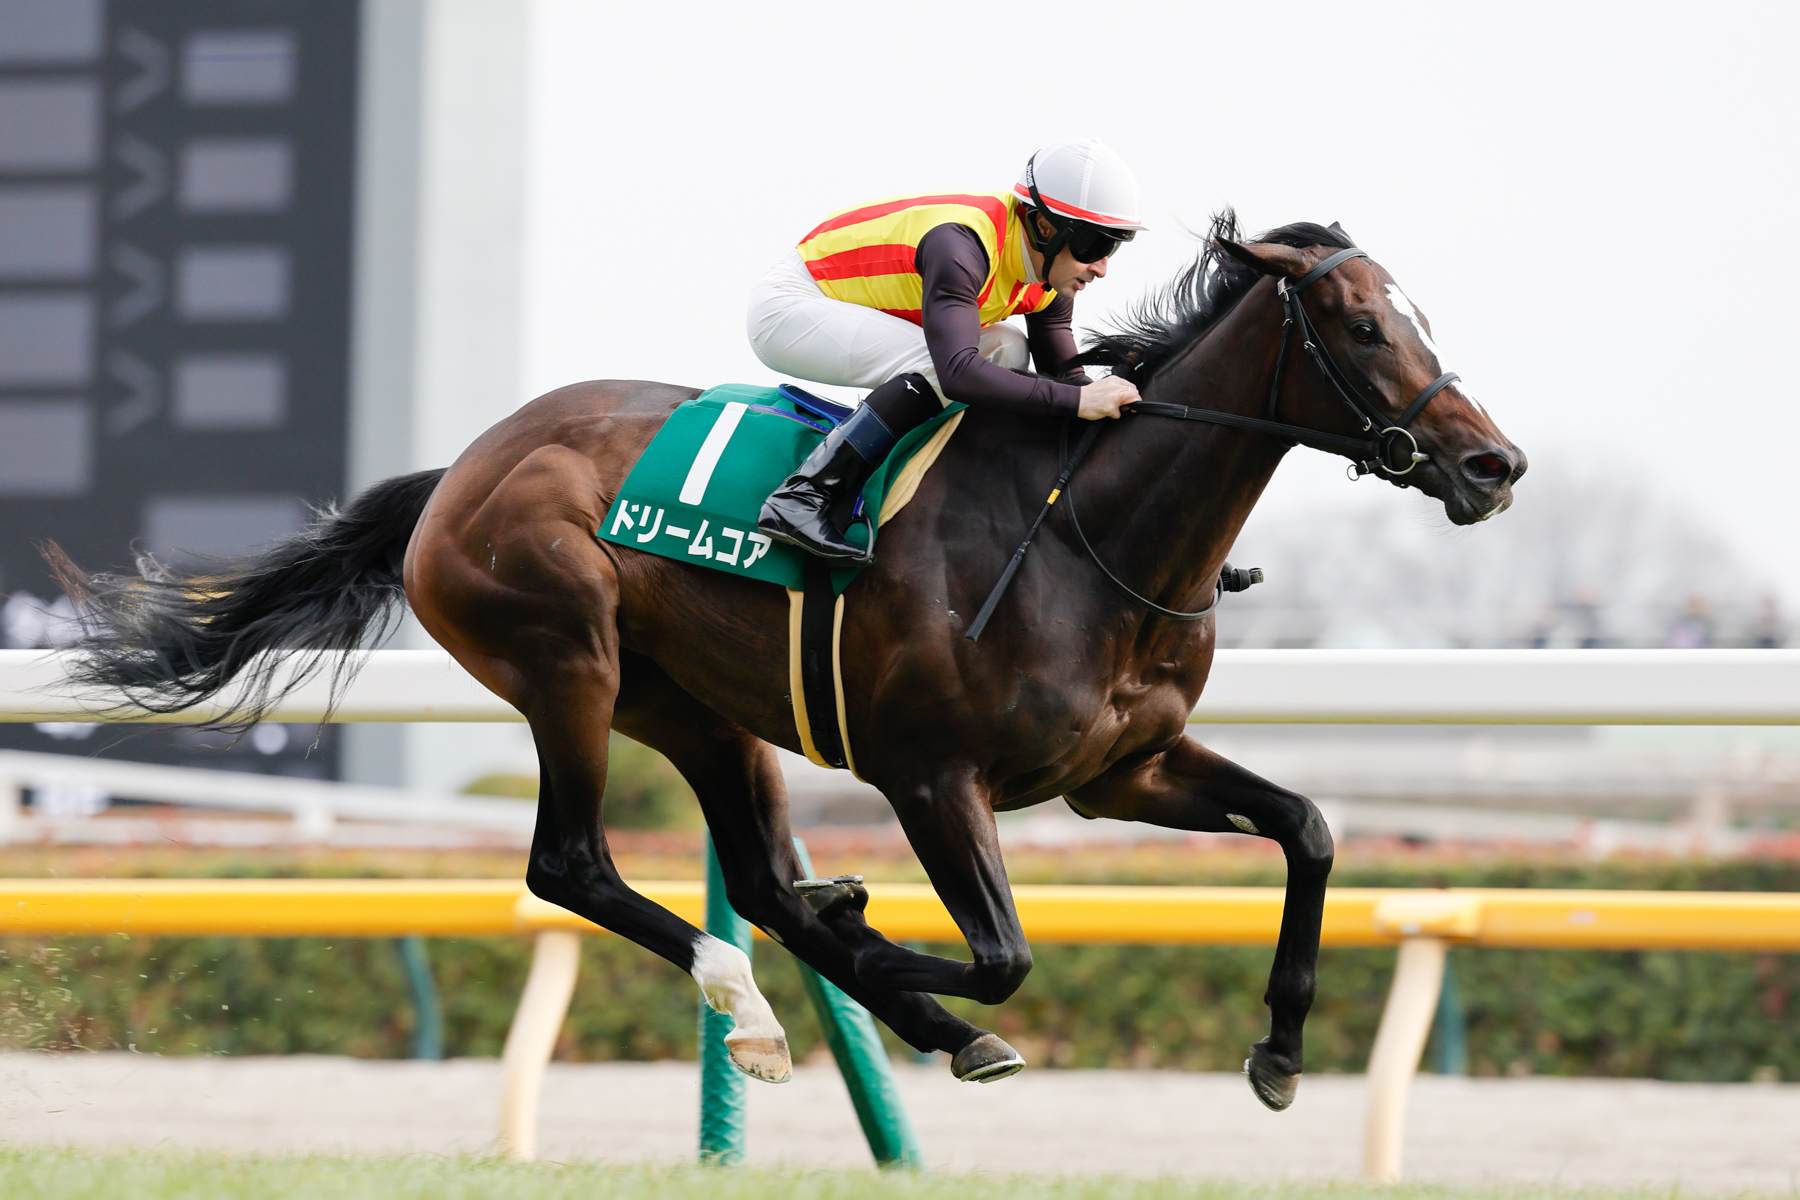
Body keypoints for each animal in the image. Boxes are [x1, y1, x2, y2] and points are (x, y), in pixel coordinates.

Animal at [54, 212, 1524, 1110]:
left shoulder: (1123, 769)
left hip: (704, 710)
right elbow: (999, 953)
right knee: (573, 865)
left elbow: (1311, 829)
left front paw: (1278, 1048)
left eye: (1420, 315)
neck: (1085, 529)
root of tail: (457, 472)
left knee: (752, 876)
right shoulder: (931, 774)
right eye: (1360, 325)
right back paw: (760, 1006)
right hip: (567, 655)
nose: (1492, 465)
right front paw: (872, 938)